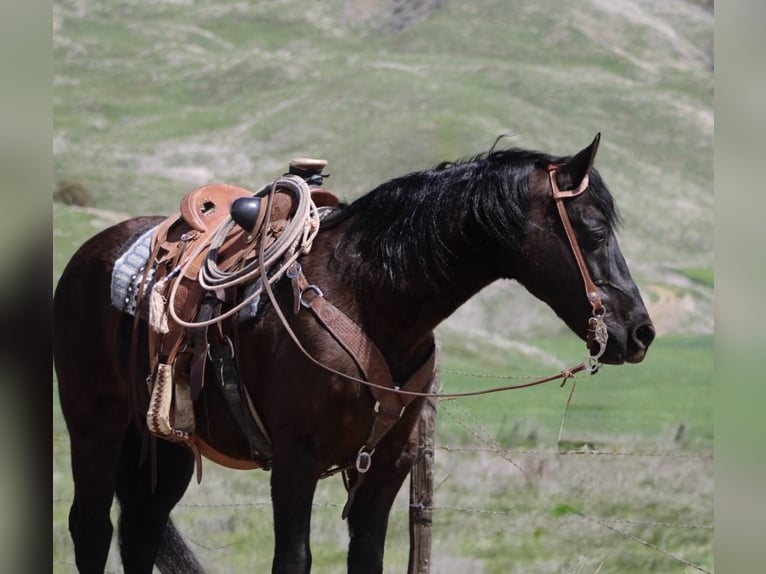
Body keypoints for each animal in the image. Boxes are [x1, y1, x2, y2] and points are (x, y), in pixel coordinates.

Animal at [53, 133, 655, 573]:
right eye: (594, 231)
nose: (641, 333)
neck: (368, 298)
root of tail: (87, 255)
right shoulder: (294, 462)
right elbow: (292, 560)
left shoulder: (388, 466)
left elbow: (365, 559)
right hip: (95, 425)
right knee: (92, 528)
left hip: (165, 441)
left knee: (141, 531)